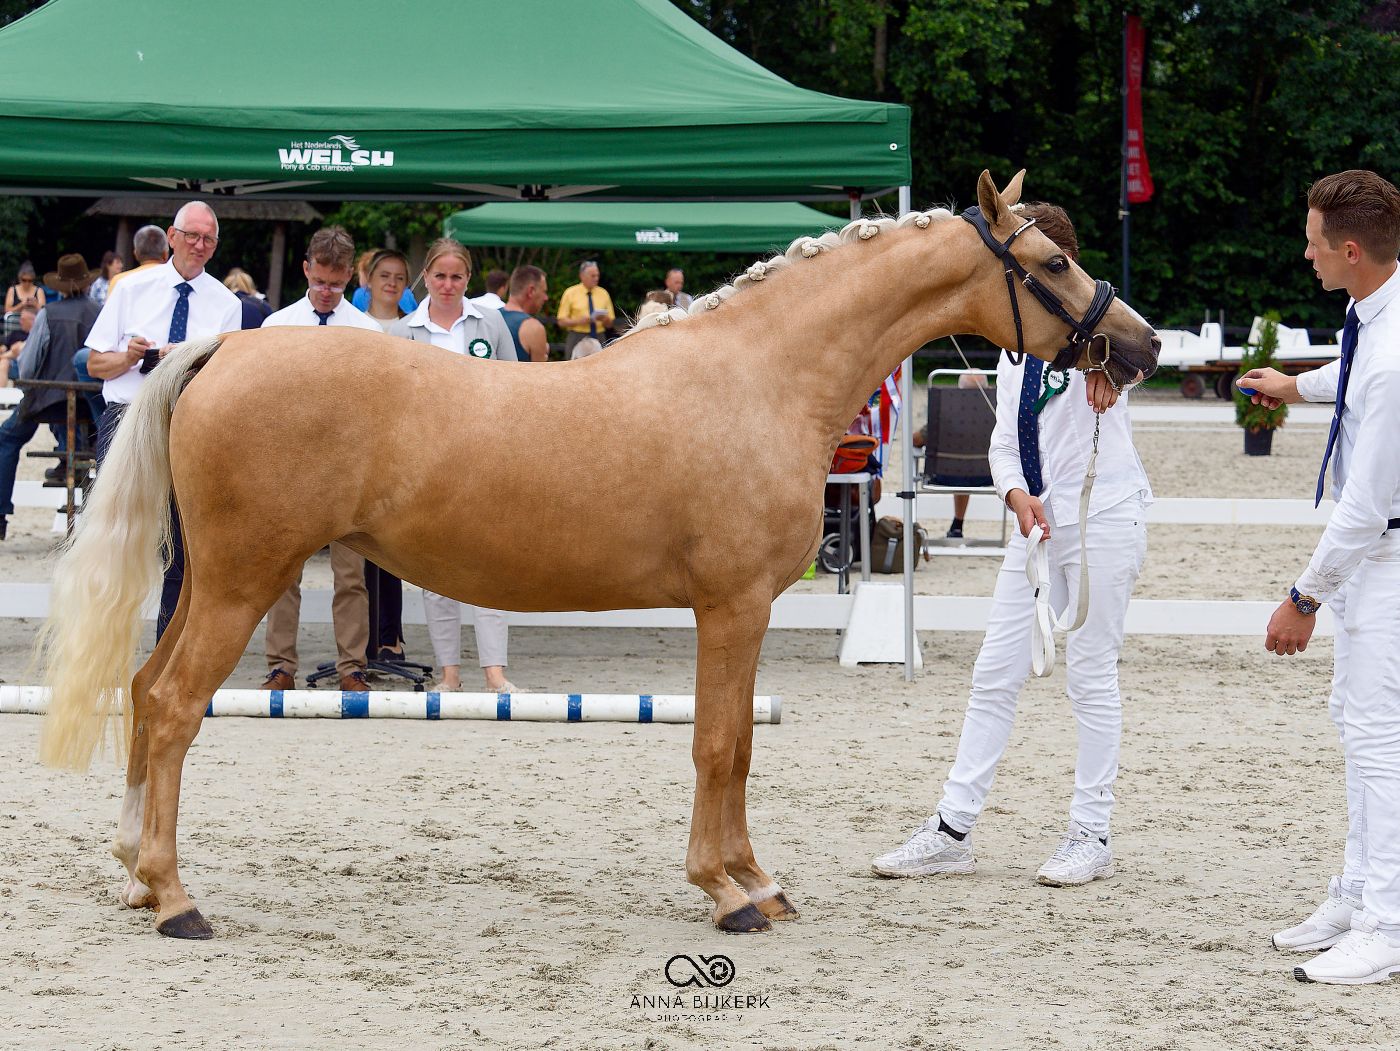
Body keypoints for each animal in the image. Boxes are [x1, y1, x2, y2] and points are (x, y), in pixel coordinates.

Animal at [36, 170, 1159, 939]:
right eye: (1053, 265)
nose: (1143, 348)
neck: (760, 376)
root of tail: (227, 343)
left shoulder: (741, 612)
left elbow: (736, 747)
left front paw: (756, 880)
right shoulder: (733, 606)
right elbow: (717, 745)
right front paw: (726, 891)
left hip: (210, 581)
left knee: (145, 689)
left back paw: (136, 872)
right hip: (241, 580)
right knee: (176, 705)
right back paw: (175, 897)